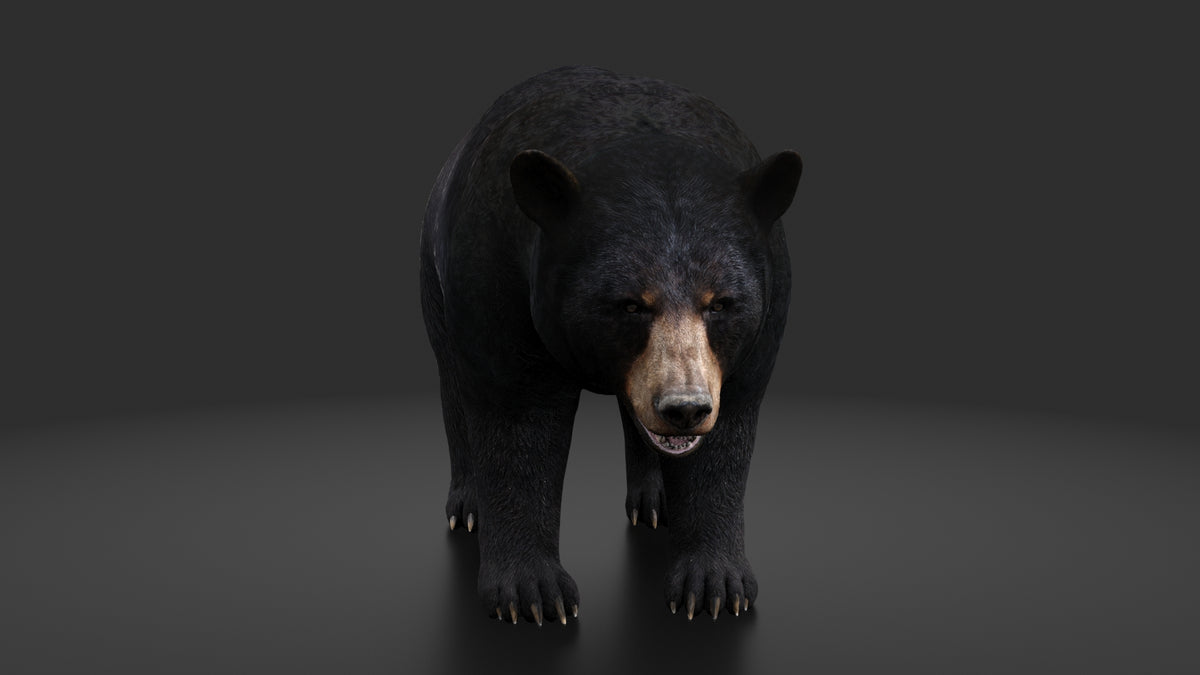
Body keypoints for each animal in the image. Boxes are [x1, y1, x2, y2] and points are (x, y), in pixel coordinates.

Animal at [420, 65, 801, 625]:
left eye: (722, 303)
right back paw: (469, 508)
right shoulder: (497, 278)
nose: (686, 408)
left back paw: (654, 500)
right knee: (452, 380)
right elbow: (519, 420)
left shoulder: (765, 310)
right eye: (629, 304)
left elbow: (728, 432)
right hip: (434, 274)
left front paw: (715, 586)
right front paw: (532, 595)